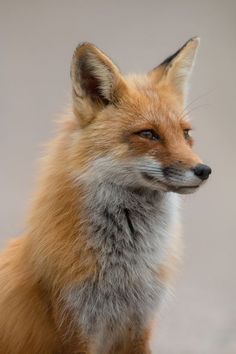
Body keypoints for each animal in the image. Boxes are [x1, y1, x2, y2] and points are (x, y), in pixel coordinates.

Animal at [0, 37, 210, 352]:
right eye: (148, 134)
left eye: (185, 134)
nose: (204, 170)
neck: (124, 273)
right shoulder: (76, 327)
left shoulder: (139, 323)